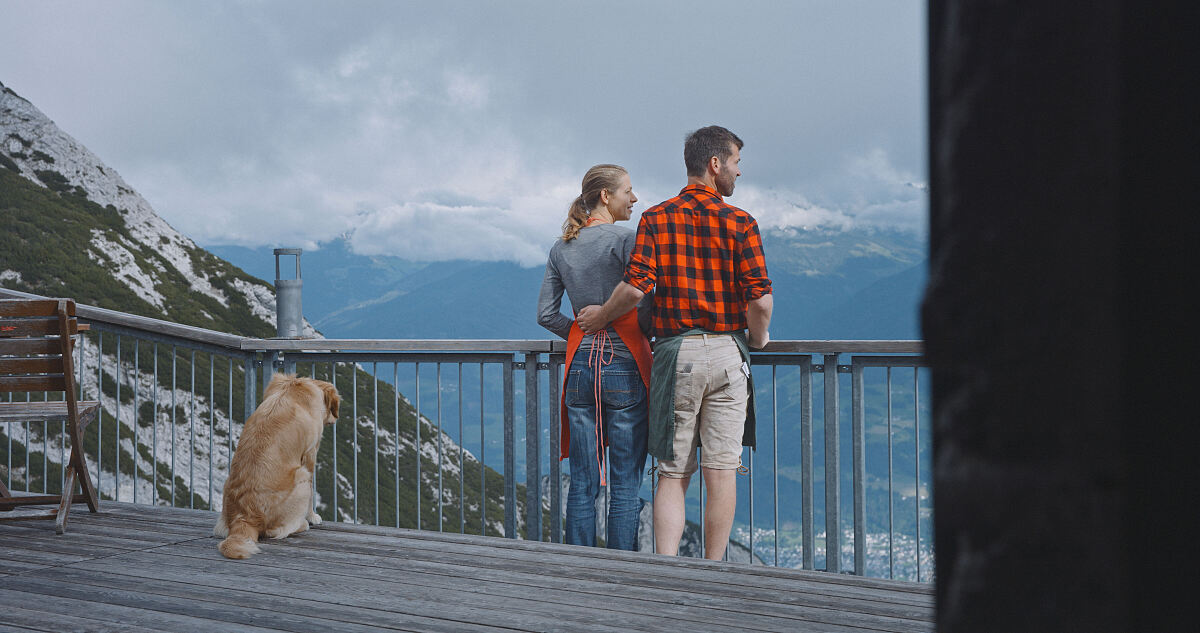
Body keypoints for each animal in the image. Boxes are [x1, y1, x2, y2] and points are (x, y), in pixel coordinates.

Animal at [213, 374, 338, 556]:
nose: (335, 418)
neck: (296, 385)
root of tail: (244, 517)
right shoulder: (310, 454)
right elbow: (312, 493)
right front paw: (312, 517)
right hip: (301, 476)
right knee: (276, 531)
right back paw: (302, 524)